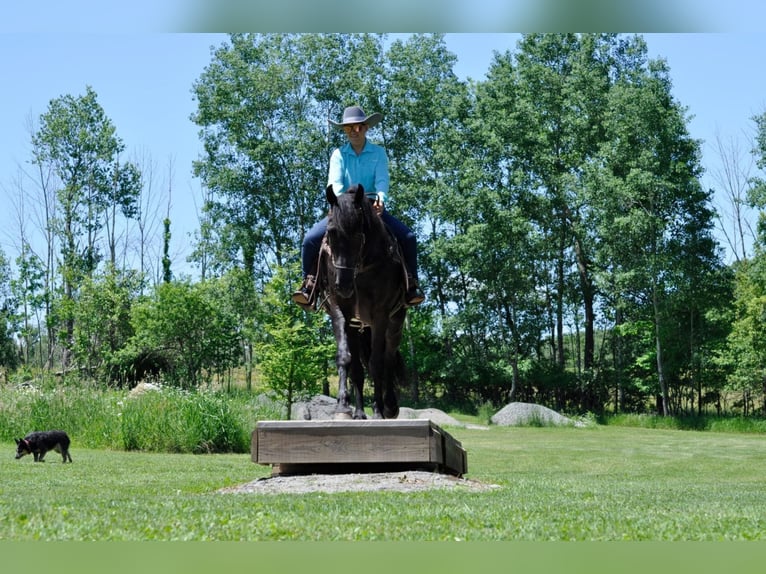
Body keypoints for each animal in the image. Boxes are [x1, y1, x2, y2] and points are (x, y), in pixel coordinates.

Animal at [316, 187, 408, 420]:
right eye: (331, 232)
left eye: (359, 234)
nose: (343, 285)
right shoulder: (340, 311)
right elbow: (345, 359)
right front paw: (342, 406)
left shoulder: (380, 315)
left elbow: (377, 363)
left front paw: (378, 411)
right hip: (357, 327)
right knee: (358, 369)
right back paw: (358, 412)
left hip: (395, 322)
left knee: (388, 359)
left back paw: (389, 407)